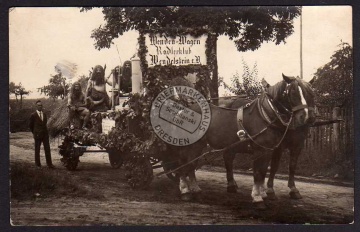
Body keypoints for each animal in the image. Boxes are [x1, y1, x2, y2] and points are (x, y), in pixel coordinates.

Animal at [174, 73, 316, 208]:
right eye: (293, 92)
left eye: (310, 93)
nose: (307, 117)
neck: (265, 115)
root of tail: (184, 109)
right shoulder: (260, 150)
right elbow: (258, 173)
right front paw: (258, 198)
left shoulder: (269, 150)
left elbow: (263, 172)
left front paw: (262, 194)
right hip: (193, 145)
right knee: (186, 165)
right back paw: (186, 191)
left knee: (191, 165)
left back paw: (195, 191)